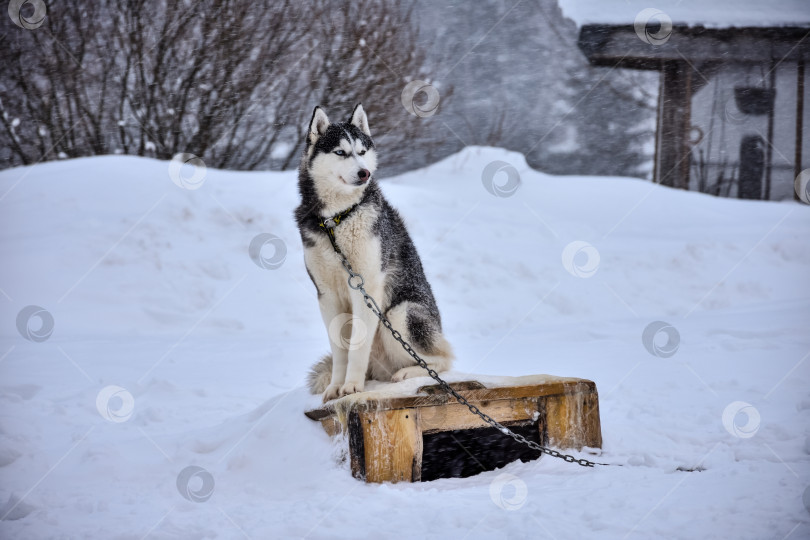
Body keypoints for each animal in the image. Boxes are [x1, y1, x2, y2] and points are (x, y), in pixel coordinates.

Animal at [296, 104, 452, 400]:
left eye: (362, 151)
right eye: (340, 152)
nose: (364, 173)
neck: (337, 220)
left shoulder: (365, 287)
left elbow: (357, 347)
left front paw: (352, 386)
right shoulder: (327, 296)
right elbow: (340, 352)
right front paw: (336, 387)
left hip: (400, 313)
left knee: (444, 360)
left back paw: (408, 373)